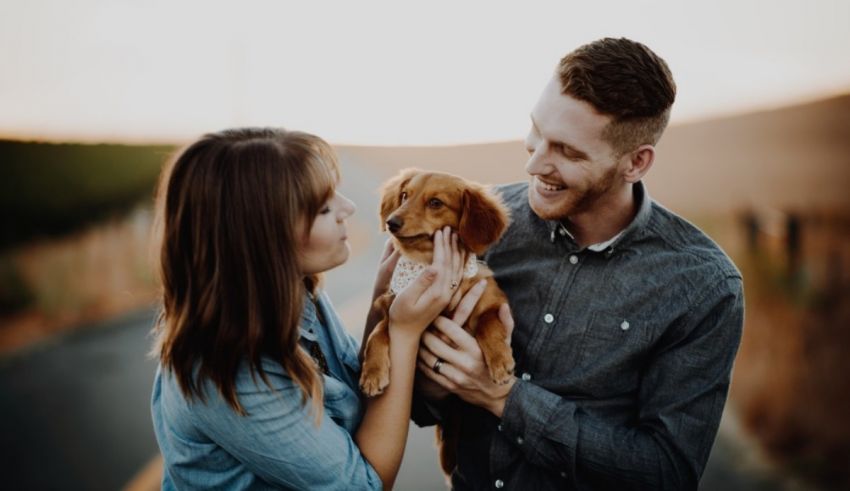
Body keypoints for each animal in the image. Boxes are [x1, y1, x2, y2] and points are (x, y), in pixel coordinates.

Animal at [360, 168, 516, 476]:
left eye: (435, 203)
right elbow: (379, 332)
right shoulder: (393, 307)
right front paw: (372, 372)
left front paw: (500, 360)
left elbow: (488, 325)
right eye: (404, 195)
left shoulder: (493, 302)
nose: (392, 222)